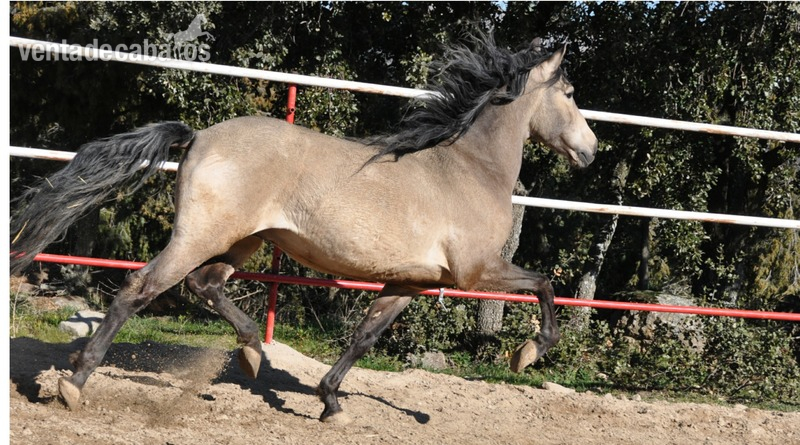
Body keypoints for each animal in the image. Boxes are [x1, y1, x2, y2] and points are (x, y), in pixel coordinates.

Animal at [10, 33, 597, 424]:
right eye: (570, 93)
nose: (591, 151)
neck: (471, 169)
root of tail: (199, 136)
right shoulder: (476, 272)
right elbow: (545, 285)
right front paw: (528, 353)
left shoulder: (411, 281)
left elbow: (364, 336)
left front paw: (331, 402)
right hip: (201, 236)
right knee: (141, 287)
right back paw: (75, 383)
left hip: (241, 242)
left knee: (205, 285)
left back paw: (250, 354)